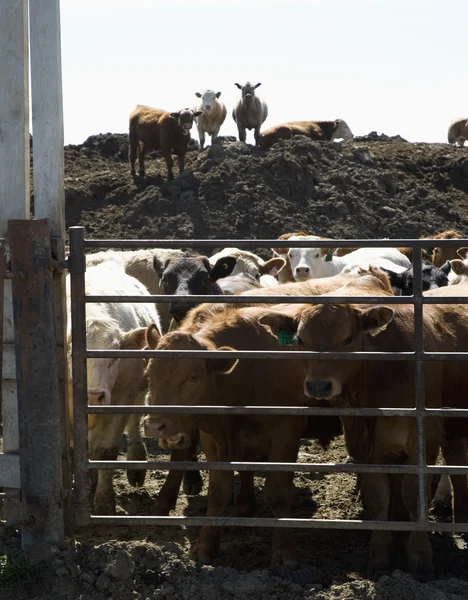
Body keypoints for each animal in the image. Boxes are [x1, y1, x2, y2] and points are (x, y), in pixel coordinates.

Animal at [65, 262, 162, 516]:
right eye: (71, 356)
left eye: (114, 358)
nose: (93, 396)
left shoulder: (121, 400)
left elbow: (106, 451)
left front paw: (104, 501)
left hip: (139, 389)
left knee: (134, 423)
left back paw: (136, 462)